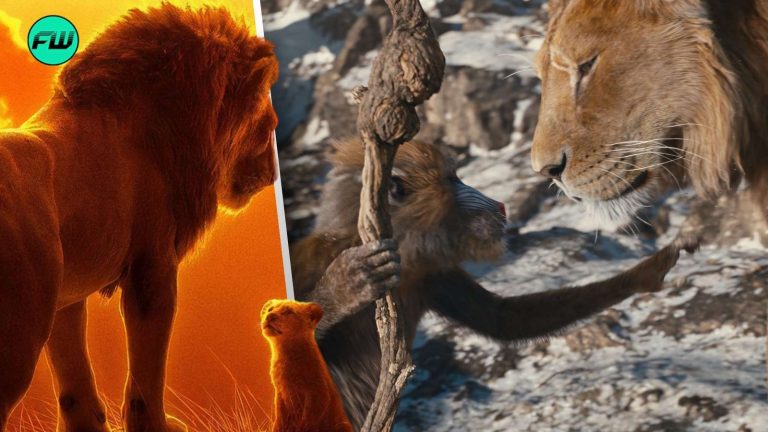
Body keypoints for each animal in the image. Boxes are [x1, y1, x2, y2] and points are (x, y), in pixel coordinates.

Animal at [0, 4, 278, 432]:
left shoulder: (67, 296)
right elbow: (148, 371)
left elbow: (74, 379)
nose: (273, 175)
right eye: (268, 126)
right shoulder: (153, 268)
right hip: (15, 347)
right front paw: (157, 425)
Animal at [261, 300, 353, 432]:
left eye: (288, 312)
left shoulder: (318, 392)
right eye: (270, 309)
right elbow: (279, 421)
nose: (269, 316)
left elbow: (308, 420)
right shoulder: (280, 394)